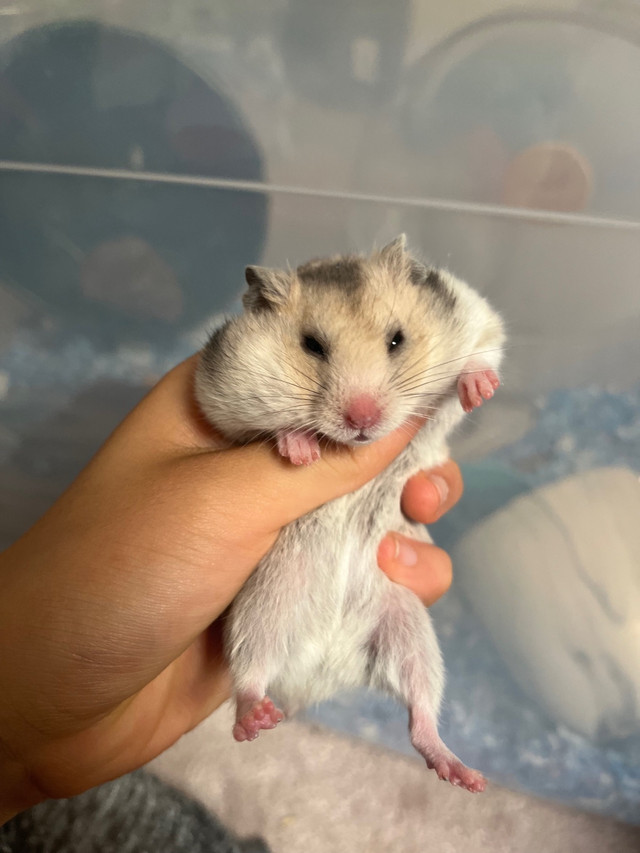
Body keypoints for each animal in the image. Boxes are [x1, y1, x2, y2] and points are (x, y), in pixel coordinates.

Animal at [195, 235, 504, 792]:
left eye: (397, 340)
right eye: (312, 346)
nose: (363, 420)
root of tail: (322, 673)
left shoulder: (477, 318)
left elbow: (482, 353)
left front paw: (479, 389)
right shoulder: (219, 395)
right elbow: (255, 427)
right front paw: (299, 449)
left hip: (408, 629)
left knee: (421, 716)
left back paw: (464, 775)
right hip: (262, 608)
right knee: (249, 676)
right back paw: (255, 720)